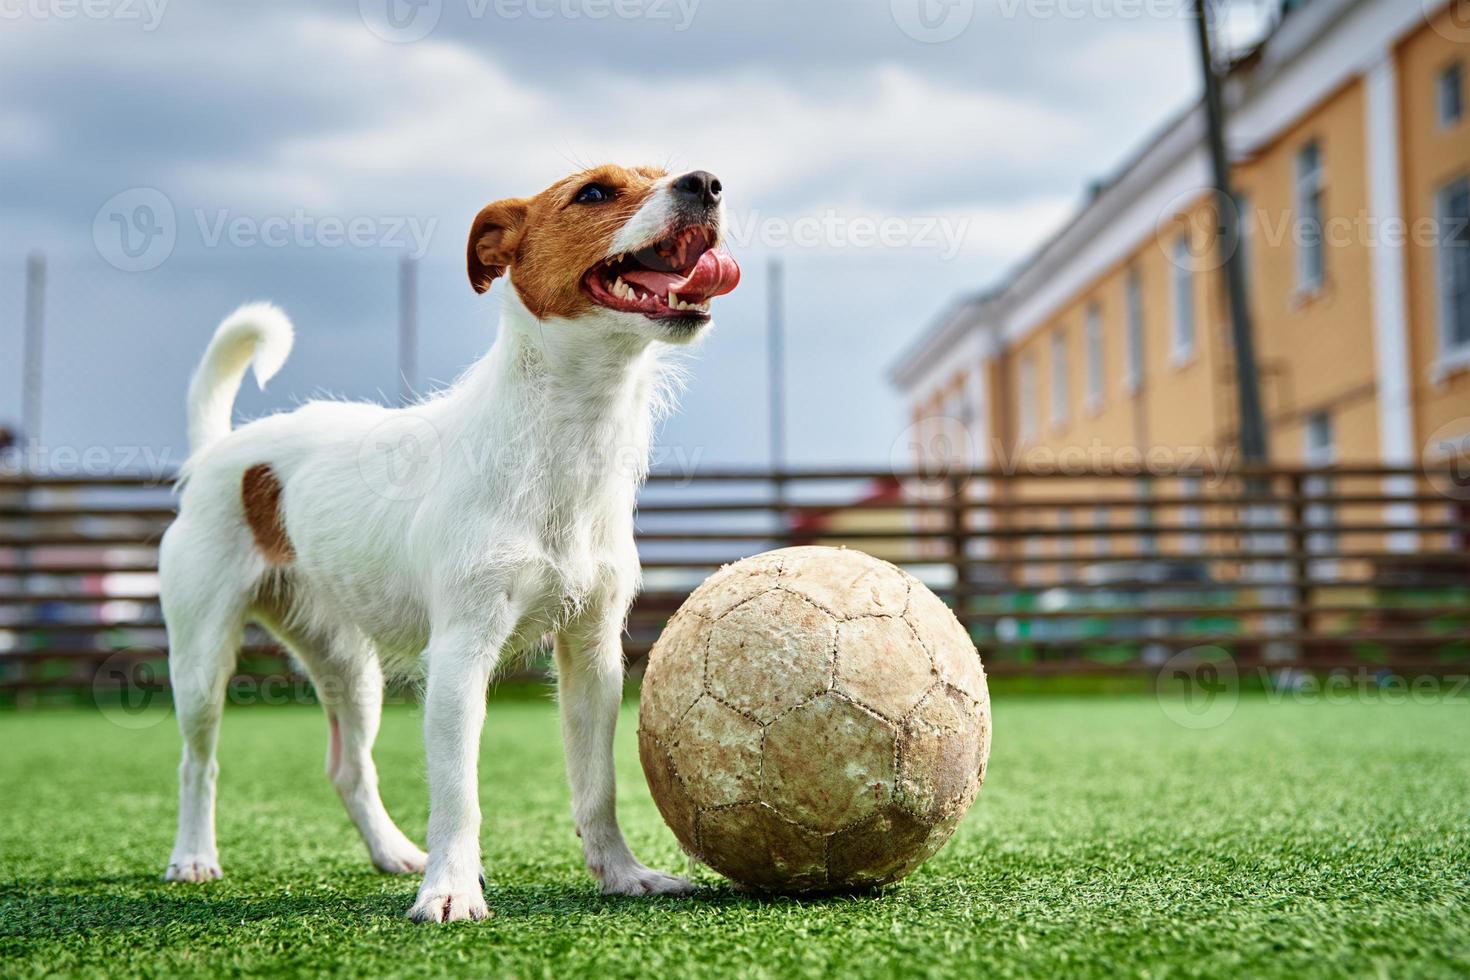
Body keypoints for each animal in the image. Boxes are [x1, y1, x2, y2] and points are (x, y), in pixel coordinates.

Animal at [159, 164, 740, 922]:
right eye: (593, 193)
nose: (706, 182)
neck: (566, 437)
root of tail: (219, 450)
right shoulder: (461, 654)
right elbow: (459, 793)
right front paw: (452, 890)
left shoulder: (593, 655)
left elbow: (598, 786)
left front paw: (621, 874)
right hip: (201, 660)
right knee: (198, 762)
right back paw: (194, 856)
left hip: (350, 668)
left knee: (348, 767)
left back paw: (392, 853)